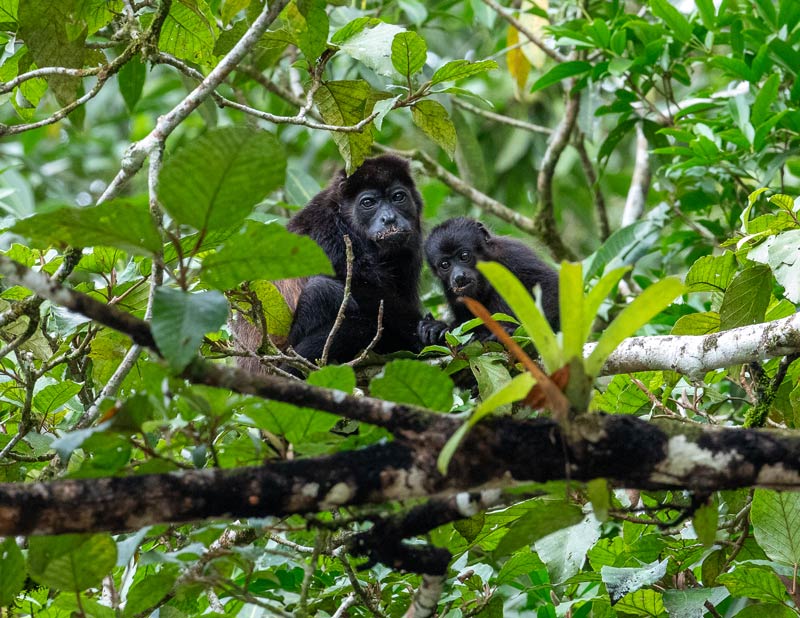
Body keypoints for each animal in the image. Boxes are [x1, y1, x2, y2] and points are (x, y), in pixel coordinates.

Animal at [235, 155, 424, 368]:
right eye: (368, 202)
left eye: (398, 197)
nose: (389, 218)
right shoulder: (326, 235)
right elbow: (364, 291)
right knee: (324, 290)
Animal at [418, 217, 559, 346]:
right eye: (445, 264)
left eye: (464, 256)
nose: (458, 276)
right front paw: (437, 328)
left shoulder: (512, 253)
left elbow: (549, 286)